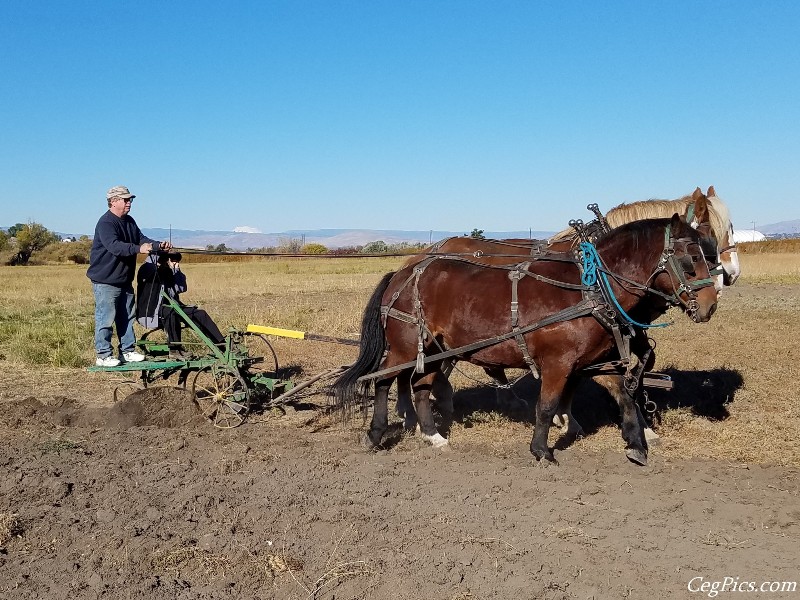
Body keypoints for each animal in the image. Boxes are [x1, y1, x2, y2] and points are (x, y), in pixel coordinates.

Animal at [334, 213, 720, 466]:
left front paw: (637, 443)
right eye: (691, 259)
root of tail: (401, 272)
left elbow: (622, 395)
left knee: (421, 386)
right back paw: (377, 433)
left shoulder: (596, 359)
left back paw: (433, 435)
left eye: (710, 254)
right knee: (384, 381)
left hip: (435, 349)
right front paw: (542, 450)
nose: (710, 305)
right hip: (404, 346)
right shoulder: (557, 363)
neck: (590, 289)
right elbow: (546, 406)